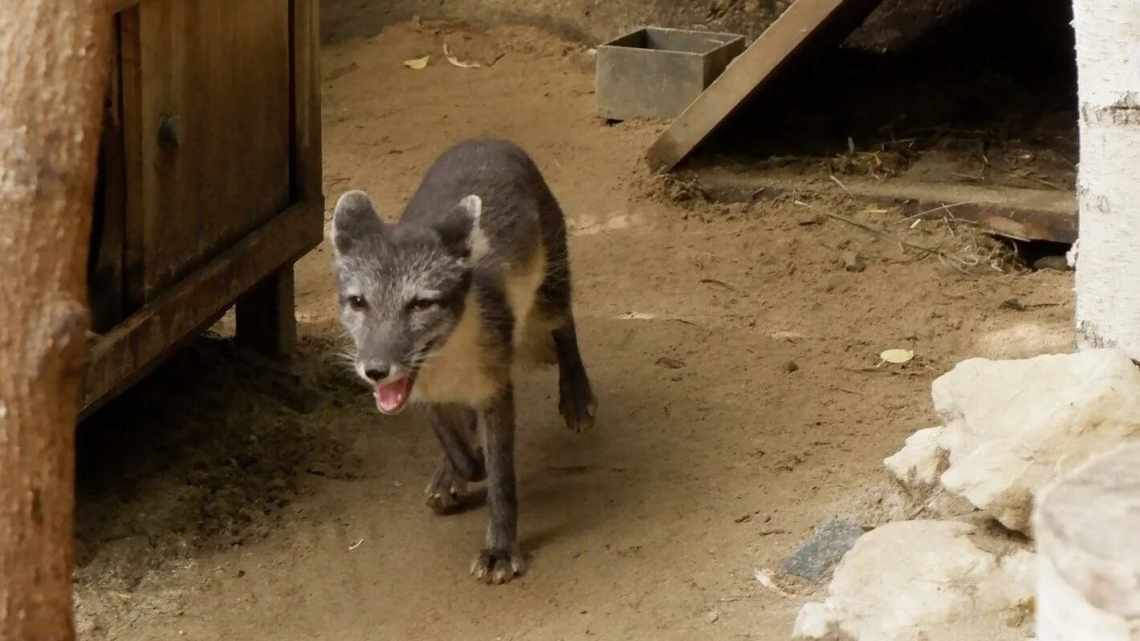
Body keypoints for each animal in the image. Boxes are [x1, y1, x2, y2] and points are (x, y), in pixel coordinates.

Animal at [330, 137, 597, 581]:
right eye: (358, 302)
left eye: (421, 304)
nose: (375, 370)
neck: (446, 361)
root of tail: (488, 140)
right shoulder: (424, 396)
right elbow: (457, 448)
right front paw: (458, 471)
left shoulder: (496, 386)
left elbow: (501, 478)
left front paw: (500, 549)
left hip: (548, 295)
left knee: (565, 324)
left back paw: (576, 396)